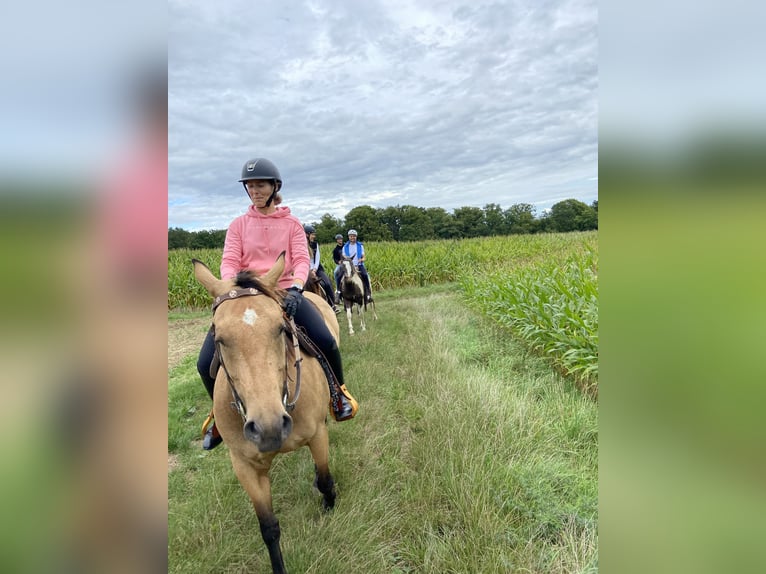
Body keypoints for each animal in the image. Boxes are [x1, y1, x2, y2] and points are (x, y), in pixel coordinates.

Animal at [192, 255, 340, 574]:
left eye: (280, 328)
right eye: (218, 338)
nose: (268, 427)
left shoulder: (317, 435)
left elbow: (324, 478)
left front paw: (329, 503)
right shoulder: (244, 465)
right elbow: (268, 527)